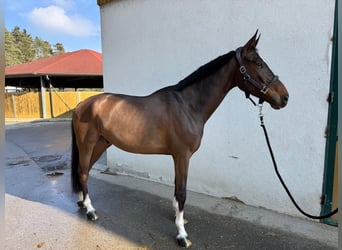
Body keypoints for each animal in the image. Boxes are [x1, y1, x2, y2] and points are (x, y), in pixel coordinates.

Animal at [71, 31, 288, 248]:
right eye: (258, 63)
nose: (285, 97)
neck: (188, 105)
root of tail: (81, 105)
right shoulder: (182, 155)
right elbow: (182, 192)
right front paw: (182, 235)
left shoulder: (178, 156)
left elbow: (177, 190)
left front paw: (178, 218)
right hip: (88, 144)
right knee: (83, 172)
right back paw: (90, 211)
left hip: (101, 144)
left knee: (83, 171)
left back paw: (82, 202)